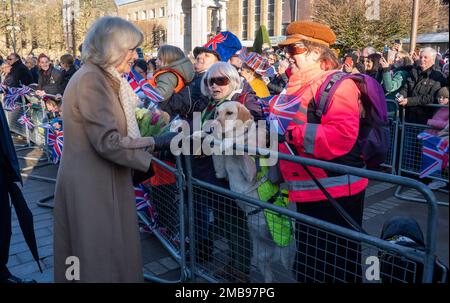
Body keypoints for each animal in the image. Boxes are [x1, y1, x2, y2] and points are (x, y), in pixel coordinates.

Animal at [212, 101, 296, 282]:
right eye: (216, 113)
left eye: (229, 113)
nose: (212, 127)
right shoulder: (221, 172)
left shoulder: (251, 173)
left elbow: (237, 145)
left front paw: (230, 141)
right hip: (261, 258)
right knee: (269, 276)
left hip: (288, 260)